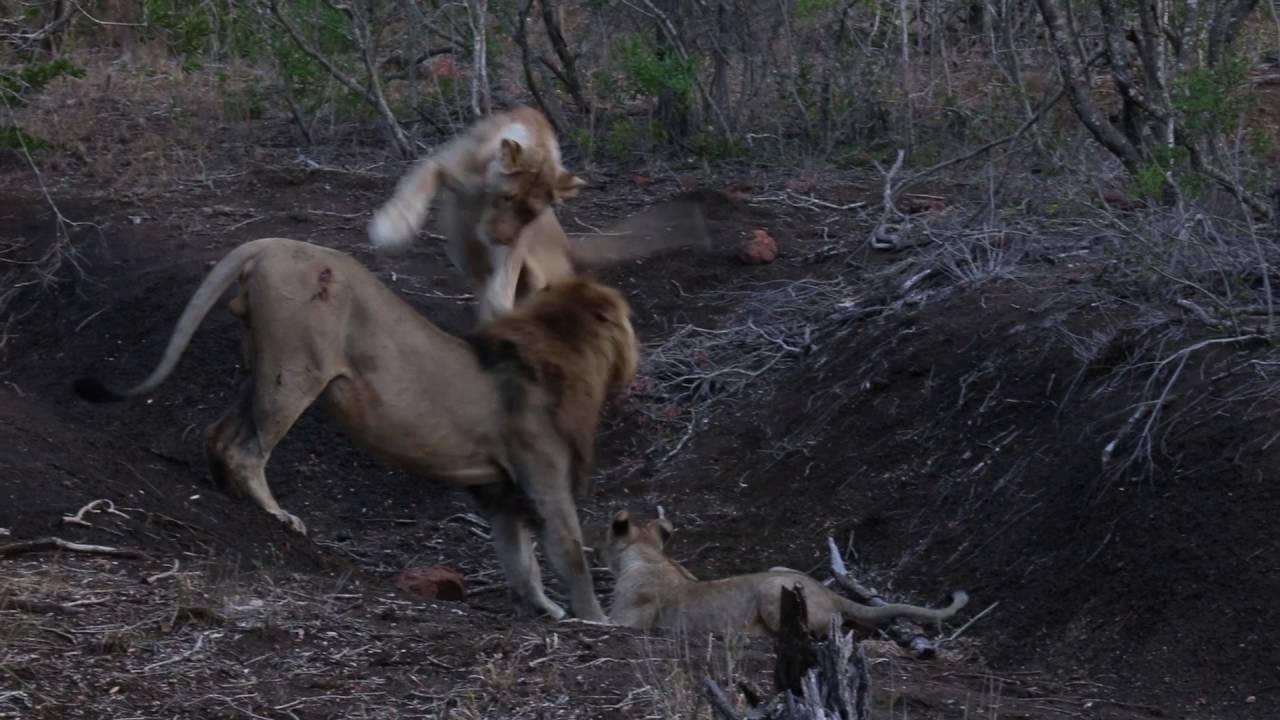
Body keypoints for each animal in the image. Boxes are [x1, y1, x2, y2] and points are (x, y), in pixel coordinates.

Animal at [73, 237, 638, 622]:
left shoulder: (499, 491)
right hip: (296, 370)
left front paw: (546, 609)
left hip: (261, 368)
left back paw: (226, 496)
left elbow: (521, 561)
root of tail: (270, 243)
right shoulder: (542, 474)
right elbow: (568, 551)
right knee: (248, 449)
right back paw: (278, 516)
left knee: (218, 432)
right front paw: (598, 621)